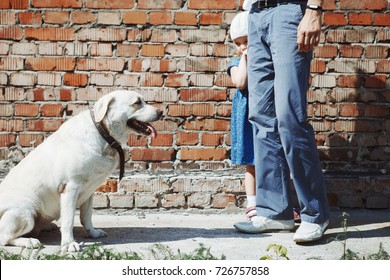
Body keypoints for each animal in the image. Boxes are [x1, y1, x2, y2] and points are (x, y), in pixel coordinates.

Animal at [0, 90, 161, 252]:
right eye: (137, 102)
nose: (161, 112)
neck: (103, 133)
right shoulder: (70, 187)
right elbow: (68, 220)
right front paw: (68, 243)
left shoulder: (89, 190)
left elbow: (87, 216)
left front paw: (93, 233)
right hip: (25, 211)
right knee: (4, 237)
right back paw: (29, 241)